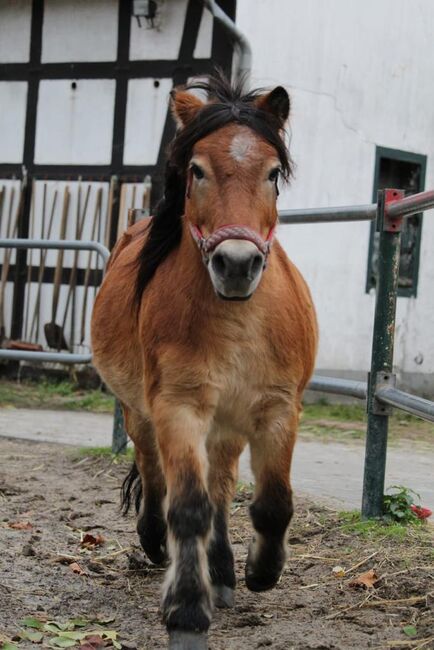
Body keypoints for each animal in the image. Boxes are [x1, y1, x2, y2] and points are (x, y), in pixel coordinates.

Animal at [92, 77, 316, 648]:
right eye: (196, 169)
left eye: (272, 172)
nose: (236, 264)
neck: (237, 317)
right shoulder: (179, 406)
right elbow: (188, 507)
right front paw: (188, 614)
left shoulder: (278, 409)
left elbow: (273, 501)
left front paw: (261, 572)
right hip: (142, 414)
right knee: (156, 477)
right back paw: (156, 542)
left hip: (229, 426)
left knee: (221, 488)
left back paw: (225, 573)